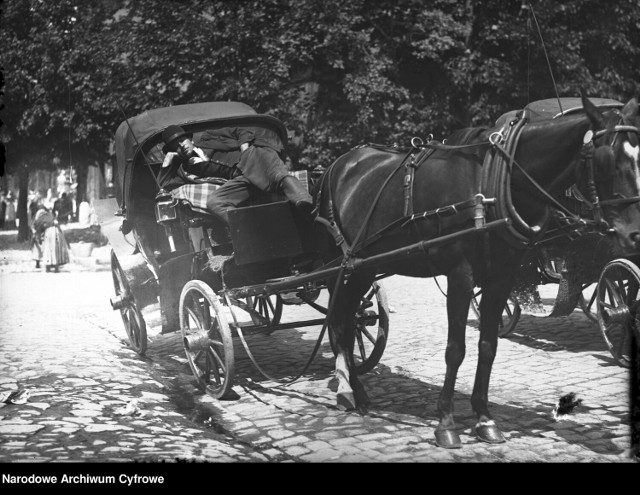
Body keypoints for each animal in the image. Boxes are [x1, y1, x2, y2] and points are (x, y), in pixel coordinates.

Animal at [316, 93, 640, 450]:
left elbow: (488, 347)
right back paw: (347, 391)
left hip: (366, 267)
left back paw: (356, 390)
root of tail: (338, 164)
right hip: (346, 268)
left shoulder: (501, 277)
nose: (635, 235)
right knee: (340, 321)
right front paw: (446, 423)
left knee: (348, 319)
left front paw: (484, 418)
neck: (492, 183)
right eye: (607, 160)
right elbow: (455, 350)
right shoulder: (460, 276)